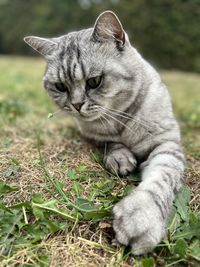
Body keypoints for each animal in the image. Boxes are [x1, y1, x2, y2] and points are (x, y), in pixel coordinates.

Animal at [24, 11, 185, 255]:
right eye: (60, 87)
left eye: (94, 81)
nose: (76, 105)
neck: (121, 120)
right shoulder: (93, 135)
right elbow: (111, 143)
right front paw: (120, 158)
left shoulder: (167, 143)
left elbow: (162, 176)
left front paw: (142, 216)